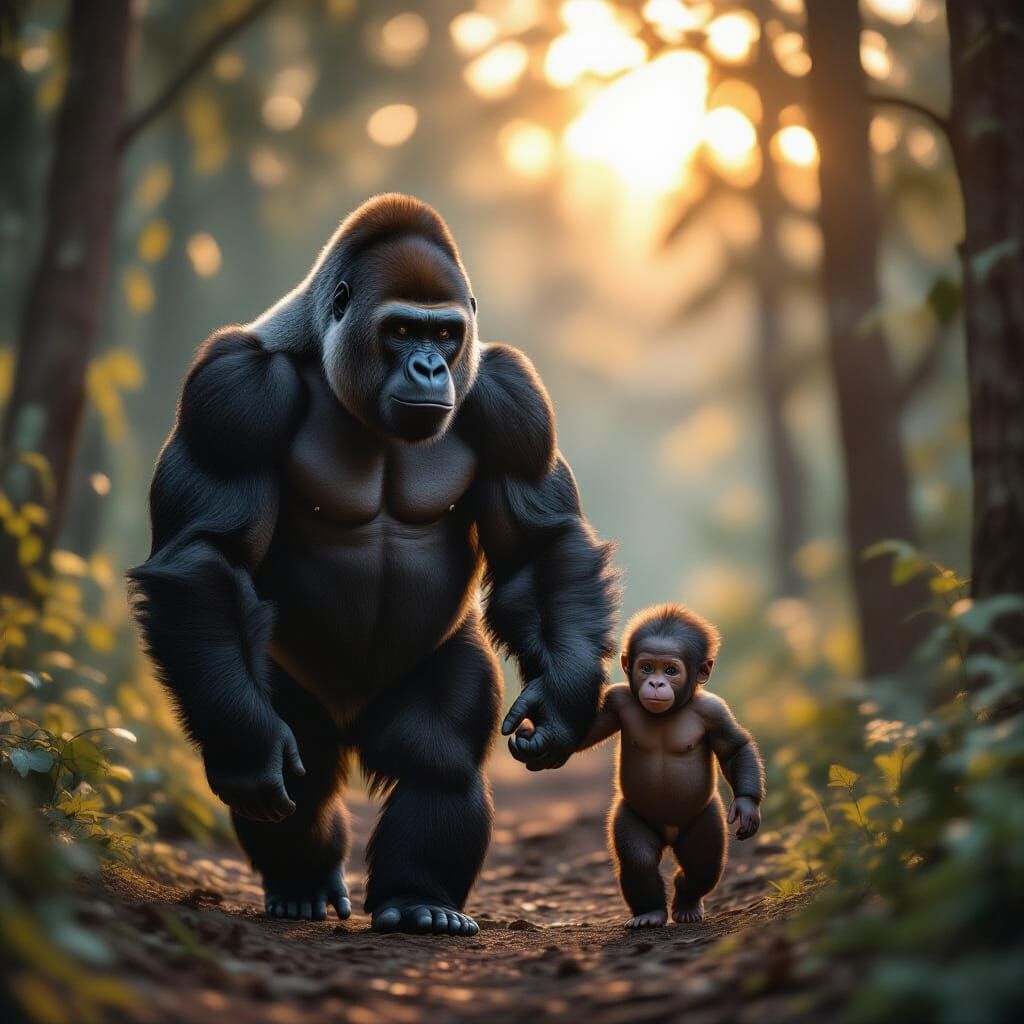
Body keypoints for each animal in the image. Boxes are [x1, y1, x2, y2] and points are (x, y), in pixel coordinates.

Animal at [128, 194, 620, 935]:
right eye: (401, 330)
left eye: (445, 334)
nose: (430, 369)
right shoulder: (230, 389)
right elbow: (205, 557)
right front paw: (245, 744)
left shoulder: (513, 397)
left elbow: (540, 546)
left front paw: (560, 701)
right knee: (298, 764)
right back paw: (301, 883)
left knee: (438, 758)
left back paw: (419, 899)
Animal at [573, 603, 764, 928]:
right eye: (647, 667)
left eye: (671, 671)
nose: (656, 683)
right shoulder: (616, 700)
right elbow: (587, 731)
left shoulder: (715, 711)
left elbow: (735, 748)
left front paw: (747, 806)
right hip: (633, 817)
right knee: (639, 860)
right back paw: (650, 912)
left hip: (704, 821)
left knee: (702, 864)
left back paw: (686, 902)